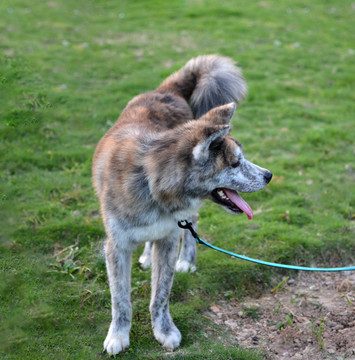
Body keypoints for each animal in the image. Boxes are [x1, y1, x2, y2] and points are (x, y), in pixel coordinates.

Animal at [92, 54, 272, 352]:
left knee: (192, 226)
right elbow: (121, 299)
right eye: (235, 163)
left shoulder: (168, 239)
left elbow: (161, 294)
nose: (269, 175)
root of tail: (168, 90)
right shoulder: (116, 246)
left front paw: (164, 331)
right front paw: (118, 336)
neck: (150, 184)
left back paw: (186, 259)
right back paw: (145, 255)